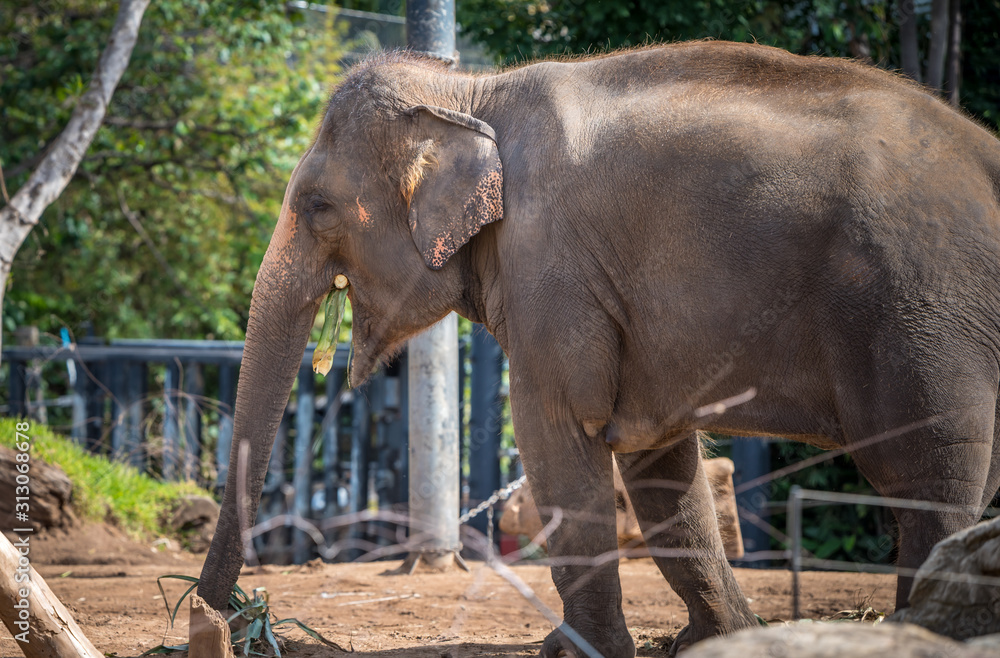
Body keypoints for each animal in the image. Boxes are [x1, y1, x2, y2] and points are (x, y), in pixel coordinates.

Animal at [198, 41, 1000, 658]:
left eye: (318, 207)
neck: (471, 91)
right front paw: (720, 639)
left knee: (928, 472)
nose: (231, 617)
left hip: (919, 308)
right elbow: (658, 463)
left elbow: (560, 433)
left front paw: (576, 652)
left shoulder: (552, 264)